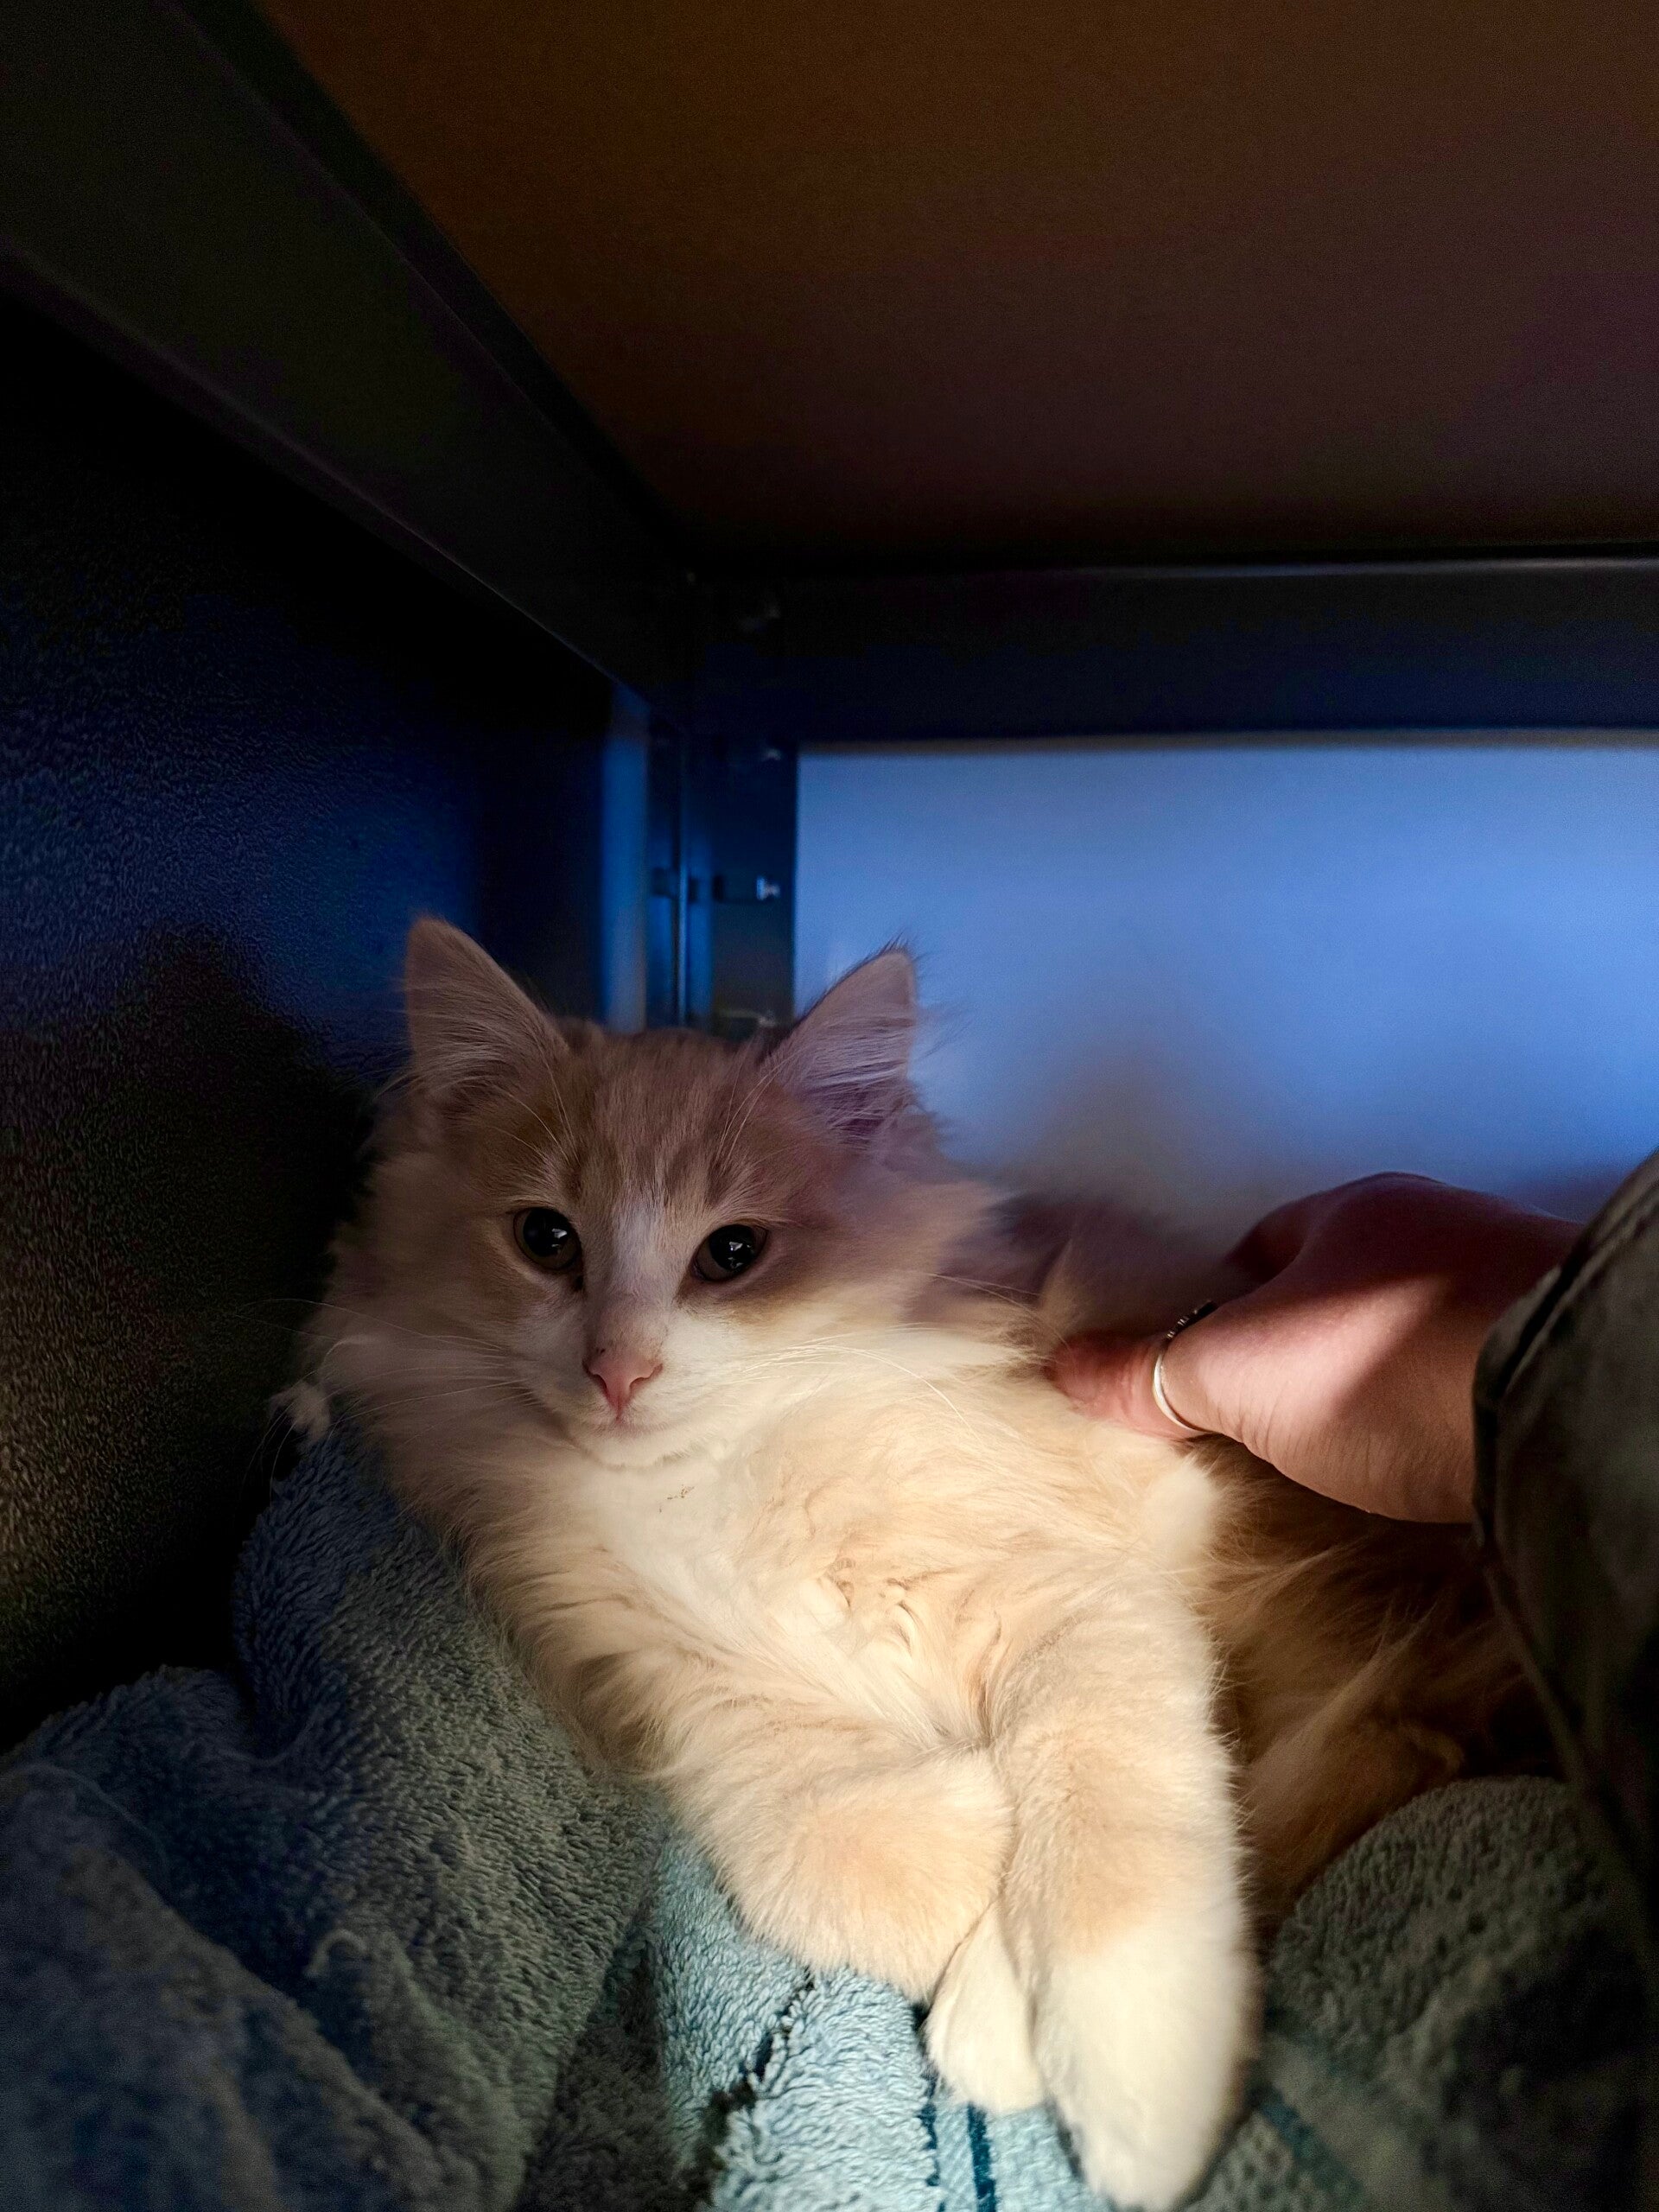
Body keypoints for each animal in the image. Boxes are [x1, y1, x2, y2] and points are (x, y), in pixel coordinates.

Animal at [302, 917, 1526, 2209]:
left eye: (732, 1255)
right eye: (546, 1238)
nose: (617, 1371)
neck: (713, 1489)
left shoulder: (1084, 1601)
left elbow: (1114, 1830)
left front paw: (1128, 2066)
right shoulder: (701, 1710)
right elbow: (823, 1855)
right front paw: (984, 1870)